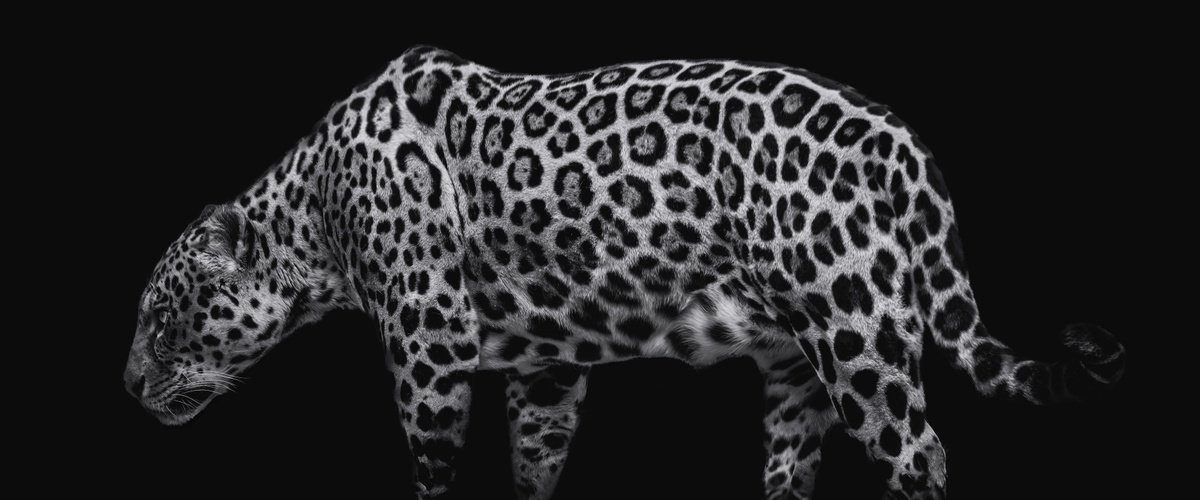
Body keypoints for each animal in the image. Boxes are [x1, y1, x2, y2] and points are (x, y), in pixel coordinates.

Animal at [122, 45, 1126, 499]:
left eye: (162, 319)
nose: (127, 385)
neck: (316, 212)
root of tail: (903, 142)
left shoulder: (429, 342)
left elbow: (434, 468)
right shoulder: (542, 366)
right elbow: (534, 462)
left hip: (857, 337)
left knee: (921, 452)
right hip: (798, 364)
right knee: (794, 466)